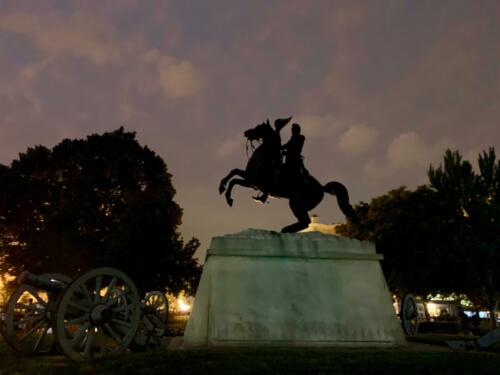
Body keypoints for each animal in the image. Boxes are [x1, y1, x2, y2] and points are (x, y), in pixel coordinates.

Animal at [219, 119, 356, 232]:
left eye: (259, 127)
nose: (246, 132)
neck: (264, 159)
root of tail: (322, 188)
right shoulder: (249, 179)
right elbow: (233, 172)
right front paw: (221, 188)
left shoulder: (253, 181)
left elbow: (234, 181)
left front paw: (229, 198)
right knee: (304, 222)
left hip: (296, 202)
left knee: (305, 222)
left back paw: (285, 229)